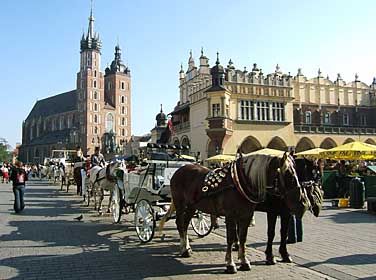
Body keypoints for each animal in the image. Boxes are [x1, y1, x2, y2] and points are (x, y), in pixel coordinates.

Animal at [159, 153, 308, 274]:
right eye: (289, 175)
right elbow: (231, 238)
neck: (240, 183)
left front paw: (244, 261)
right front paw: (230, 264)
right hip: (180, 204)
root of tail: (179, 170)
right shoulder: (231, 216)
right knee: (180, 224)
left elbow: (242, 238)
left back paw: (187, 248)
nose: (303, 202)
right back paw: (183, 250)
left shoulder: (246, 216)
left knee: (185, 224)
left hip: (192, 206)